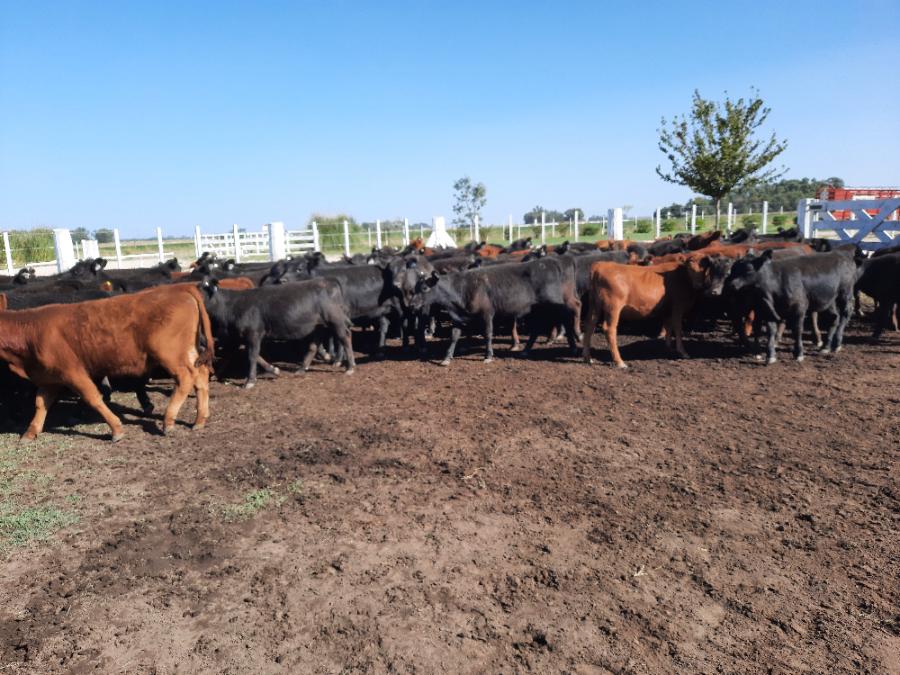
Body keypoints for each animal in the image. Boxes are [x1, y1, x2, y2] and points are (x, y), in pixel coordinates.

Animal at [0, 285, 213, 441]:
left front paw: (116, 429)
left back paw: (169, 421)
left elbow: (93, 398)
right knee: (200, 375)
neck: (31, 330)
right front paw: (30, 432)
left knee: (185, 378)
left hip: (169, 354)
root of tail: (178, 288)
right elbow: (40, 404)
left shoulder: (73, 372)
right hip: (187, 351)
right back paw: (199, 420)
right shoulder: (49, 379)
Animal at [198, 277, 356, 387]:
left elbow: (252, 356)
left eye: (201, 291)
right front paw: (274, 370)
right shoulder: (242, 337)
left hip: (335, 320)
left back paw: (350, 367)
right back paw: (302, 368)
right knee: (313, 345)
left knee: (345, 337)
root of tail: (328, 280)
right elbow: (253, 356)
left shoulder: (254, 333)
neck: (232, 305)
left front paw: (250, 381)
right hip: (317, 326)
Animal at [723, 250, 856, 364]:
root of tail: (841, 255)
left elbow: (797, 330)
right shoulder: (767, 311)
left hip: (845, 293)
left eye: (749, 270)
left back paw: (837, 343)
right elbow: (771, 331)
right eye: (733, 269)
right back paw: (826, 346)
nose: (731, 284)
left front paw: (798, 353)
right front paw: (770, 355)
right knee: (834, 317)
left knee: (846, 313)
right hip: (828, 301)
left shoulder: (799, 309)